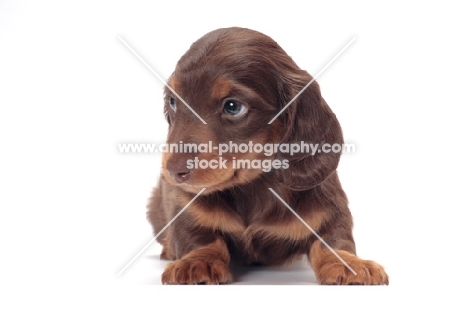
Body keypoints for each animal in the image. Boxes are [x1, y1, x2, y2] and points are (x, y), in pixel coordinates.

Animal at [146, 26, 388, 286]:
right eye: (173, 101)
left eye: (233, 107)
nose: (173, 171)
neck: (254, 187)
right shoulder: (185, 203)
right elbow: (197, 235)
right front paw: (197, 261)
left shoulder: (329, 209)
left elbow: (333, 240)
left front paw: (350, 264)